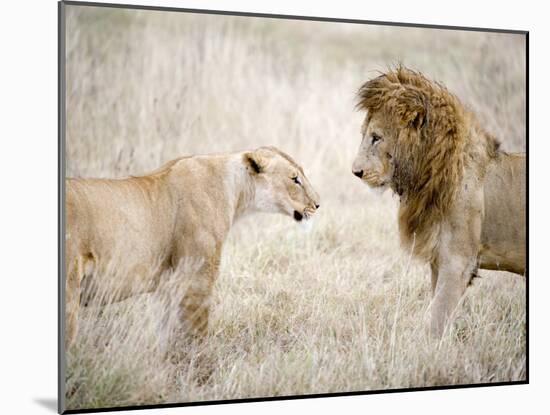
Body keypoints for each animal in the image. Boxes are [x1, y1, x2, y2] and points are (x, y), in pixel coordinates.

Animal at [65, 146, 322, 348]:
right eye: (294, 179)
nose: (318, 204)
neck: (236, 191)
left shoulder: (167, 286)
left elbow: (165, 335)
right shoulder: (197, 279)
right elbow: (197, 335)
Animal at [352, 66, 528, 336]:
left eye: (376, 137)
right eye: (366, 135)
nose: (355, 172)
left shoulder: (458, 262)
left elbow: (436, 318)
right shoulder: (439, 259)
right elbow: (435, 309)